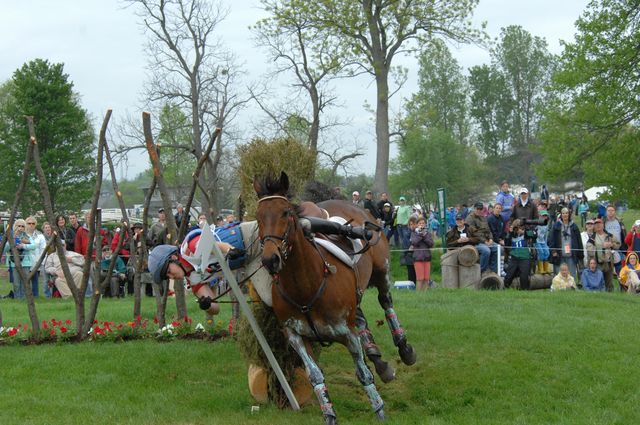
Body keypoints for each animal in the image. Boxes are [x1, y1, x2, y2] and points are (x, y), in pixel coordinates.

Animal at [252, 171, 418, 422]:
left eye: (286, 213)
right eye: (258, 216)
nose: (270, 259)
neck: (305, 288)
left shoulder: (347, 334)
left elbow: (363, 373)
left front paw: (379, 410)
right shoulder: (295, 335)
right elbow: (315, 376)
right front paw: (329, 414)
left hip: (381, 269)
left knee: (385, 301)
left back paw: (403, 348)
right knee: (360, 316)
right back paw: (378, 359)